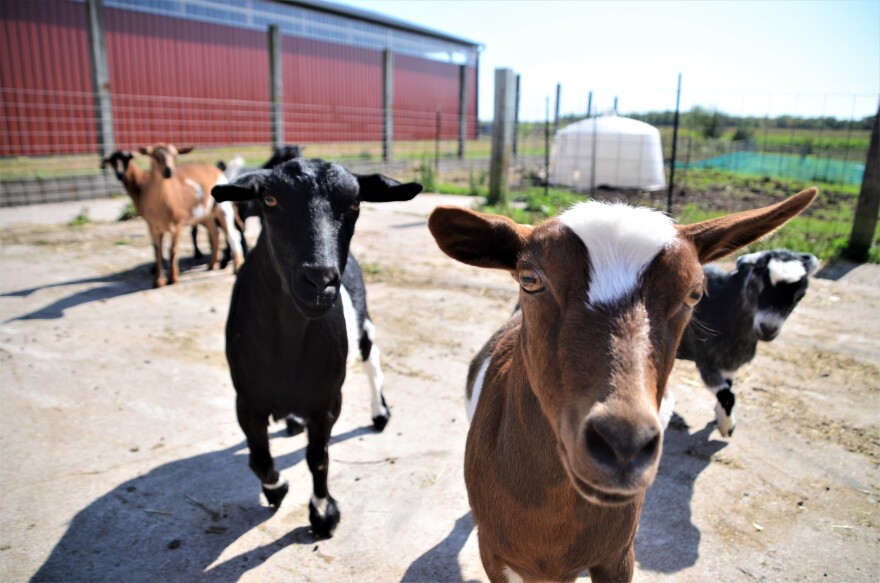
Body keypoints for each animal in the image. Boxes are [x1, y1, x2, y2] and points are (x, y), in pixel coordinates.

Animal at [211, 159, 422, 540]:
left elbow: (318, 457)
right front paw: (276, 488)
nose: (320, 281)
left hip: (363, 322)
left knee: (372, 362)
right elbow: (258, 458)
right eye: (270, 200)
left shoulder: (326, 400)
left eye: (355, 203)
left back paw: (379, 413)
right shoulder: (246, 399)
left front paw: (323, 514)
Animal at [676, 249, 820, 436]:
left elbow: (728, 388)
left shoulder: (728, 365)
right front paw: (727, 427)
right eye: (760, 285)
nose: (768, 328)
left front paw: (719, 417)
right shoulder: (706, 361)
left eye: (798, 297)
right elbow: (727, 396)